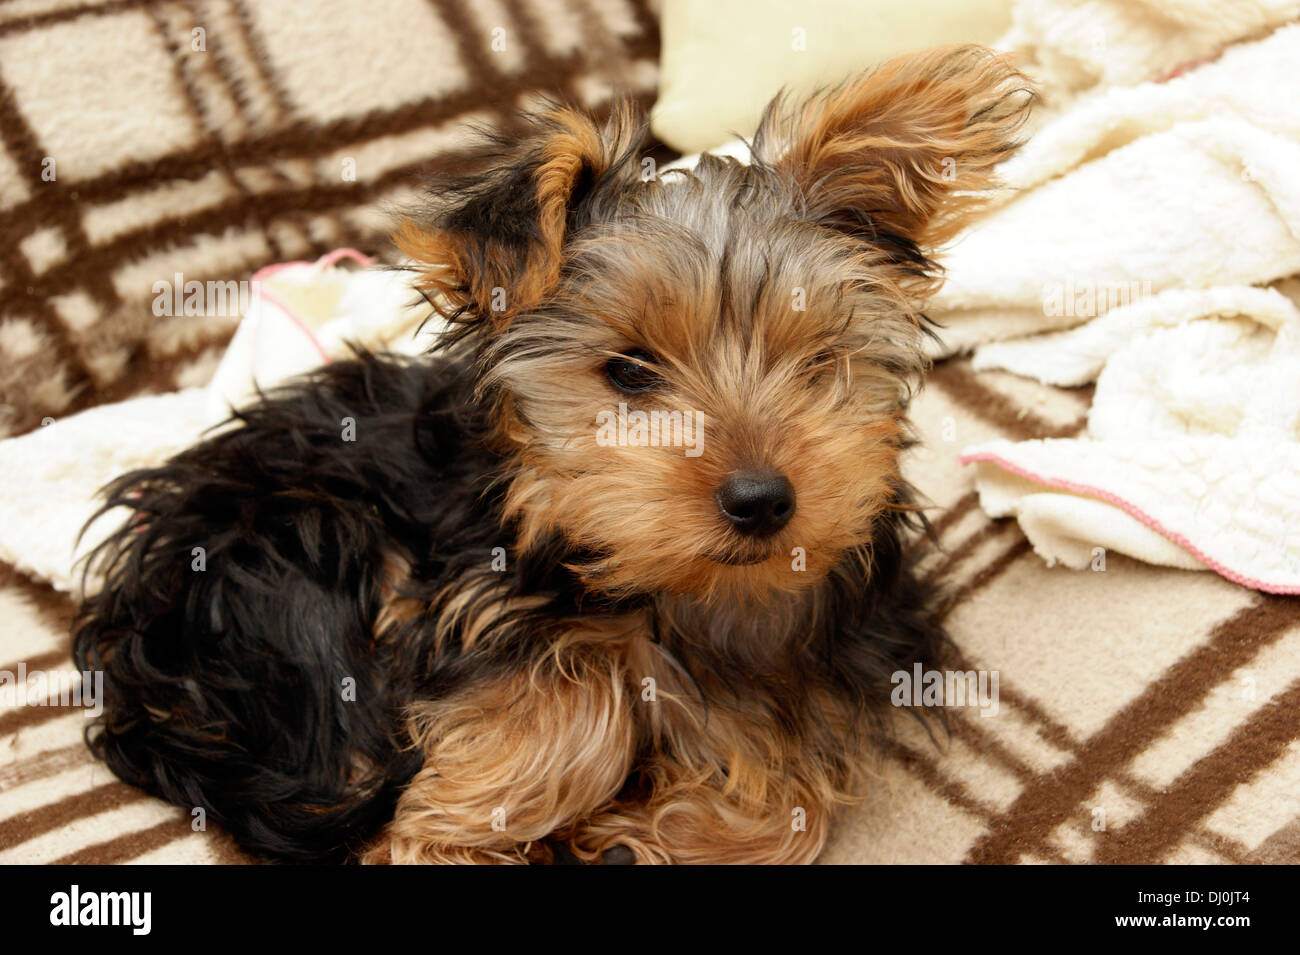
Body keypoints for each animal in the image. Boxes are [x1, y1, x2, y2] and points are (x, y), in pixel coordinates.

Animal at [73, 46, 1034, 867]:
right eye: (629, 372)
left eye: (816, 363)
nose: (763, 498)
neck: (686, 592)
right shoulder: (470, 598)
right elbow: (567, 687)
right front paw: (477, 822)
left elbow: (792, 789)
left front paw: (647, 830)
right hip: (288, 554)